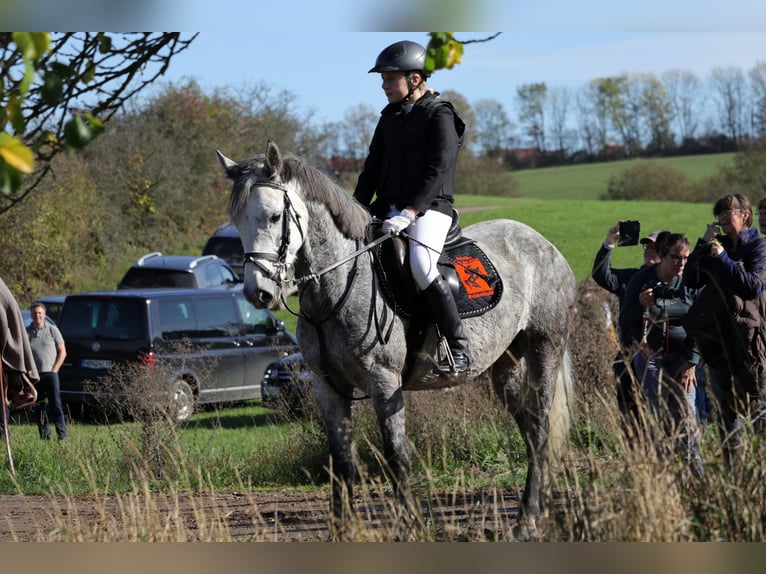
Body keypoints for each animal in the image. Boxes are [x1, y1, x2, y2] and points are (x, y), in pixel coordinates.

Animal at [216, 142, 576, 536]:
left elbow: (396, 456)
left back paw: (528, 520)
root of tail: (544, 244)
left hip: (544, 348)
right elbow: (341, 460)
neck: (336, 285)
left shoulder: (384, 383)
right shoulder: (328, 386)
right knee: (530, 428)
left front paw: (412, 526)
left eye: (274, 216)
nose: (258, 293)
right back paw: (538, 509)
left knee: (539, 428)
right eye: (238, 221)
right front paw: (343, 531)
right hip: (507, 365)